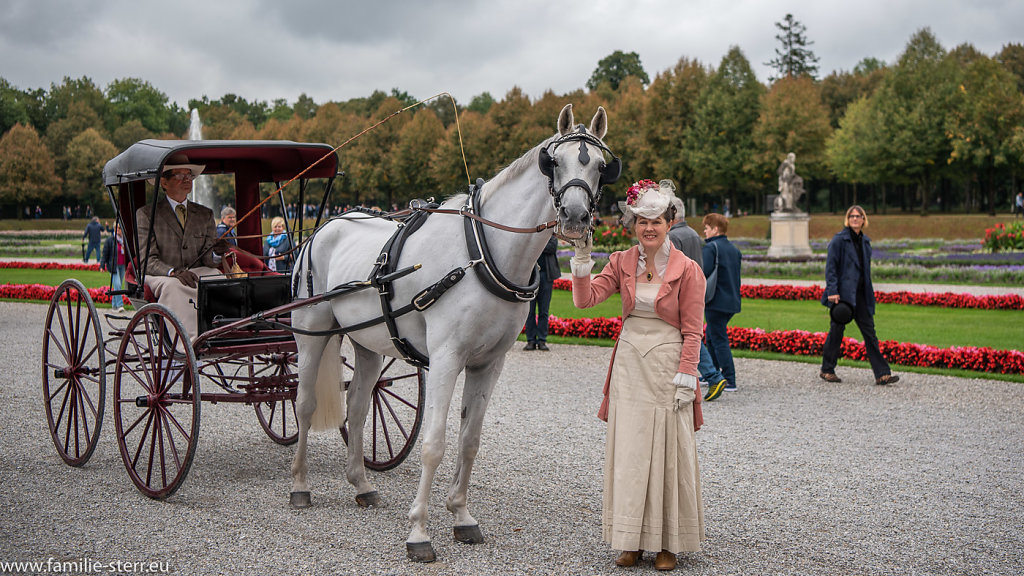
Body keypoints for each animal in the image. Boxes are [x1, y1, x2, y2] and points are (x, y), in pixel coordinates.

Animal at [286, 103, 614, 561]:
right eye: (554, 161)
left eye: (601, 165)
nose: (575, 217)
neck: (482, 253)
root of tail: (324, 227)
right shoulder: (445, 359)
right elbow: (434, 443)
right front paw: (419, 531)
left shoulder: (488, 364)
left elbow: (469, 440)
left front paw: (461, 515)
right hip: (311, 334)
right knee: (305, 404)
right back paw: (300, 484)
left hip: (368, 341)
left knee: (358, 405)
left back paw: (362, 483)